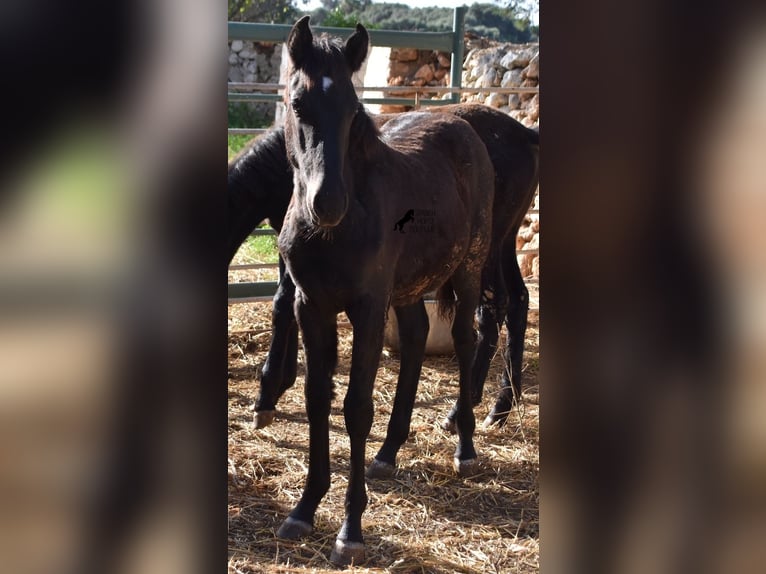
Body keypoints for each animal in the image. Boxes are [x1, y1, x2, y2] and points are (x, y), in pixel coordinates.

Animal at [273, 17, 496, 565]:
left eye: (353, 110)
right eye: (298, 104)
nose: (328, 203)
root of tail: (461, 124)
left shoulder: (368, 309)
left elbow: (356, 406)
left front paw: (350, 529)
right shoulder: (312, 306)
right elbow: (317, 397)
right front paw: (304, 510)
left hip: (469, 268)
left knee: (466, 338)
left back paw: (465, 448)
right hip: (409, 289)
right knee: (416, 337)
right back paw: (389, 452)